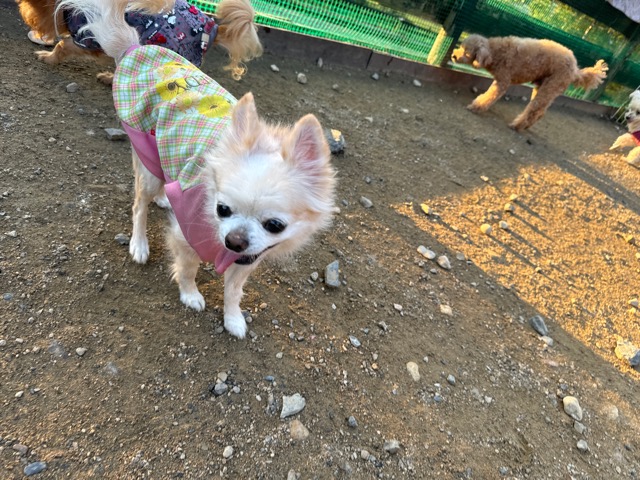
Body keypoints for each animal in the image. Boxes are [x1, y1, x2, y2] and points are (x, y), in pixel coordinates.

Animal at [56, 0, 337, 338]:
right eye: (222, 209)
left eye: (275, 225)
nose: (234, 240)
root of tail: (136, 48)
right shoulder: (185, 237)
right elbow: (188, 269)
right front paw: (190, 295)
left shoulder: (248, 258)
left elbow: (234, 290)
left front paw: (233, 318)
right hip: (146, 158)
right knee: (139, 206)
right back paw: (139, 243)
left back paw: (165, 198)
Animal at [451, 34, 608, 131]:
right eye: (461, 46)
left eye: (467, 52)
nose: (453, 56)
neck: (495, 52)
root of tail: (575, 70)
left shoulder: (503, 81)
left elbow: (489, 96)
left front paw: (476, 107)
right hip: (542, 87)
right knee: (540, 111)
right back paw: (525, 126)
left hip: (551, 85)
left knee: (534, 110)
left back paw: (517, 125)